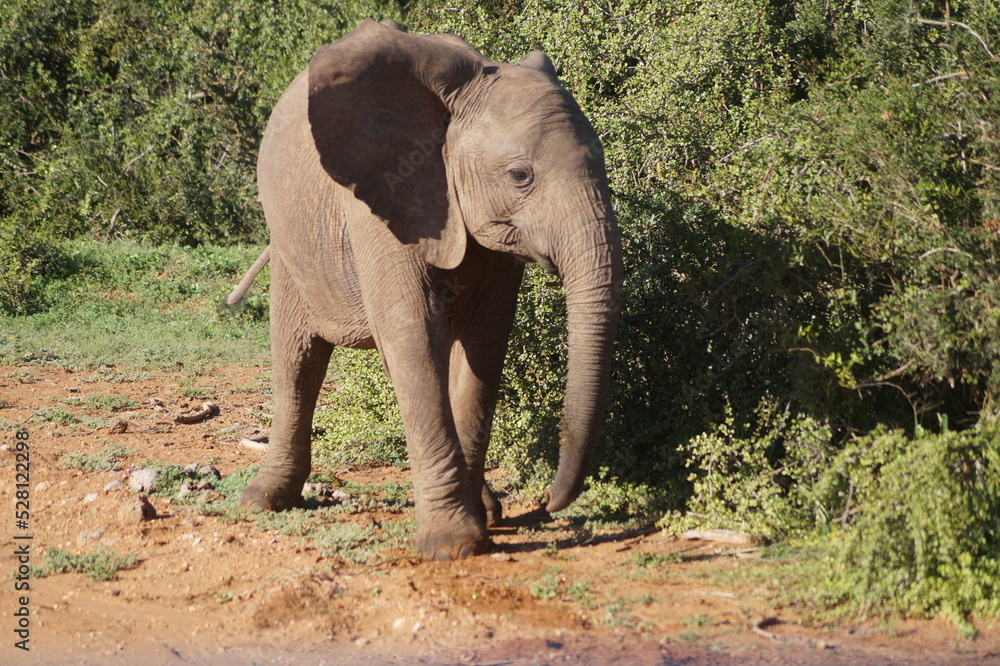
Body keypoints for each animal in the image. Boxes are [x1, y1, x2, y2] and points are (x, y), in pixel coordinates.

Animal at [229, 19, 623, 561]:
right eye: (520, 176)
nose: (548, 502)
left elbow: (484, 342)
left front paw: (483, 520)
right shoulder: (383, 197)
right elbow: (413, 335)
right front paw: (454, 545)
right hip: (291, 242)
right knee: (297, 358)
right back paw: (263, 501)